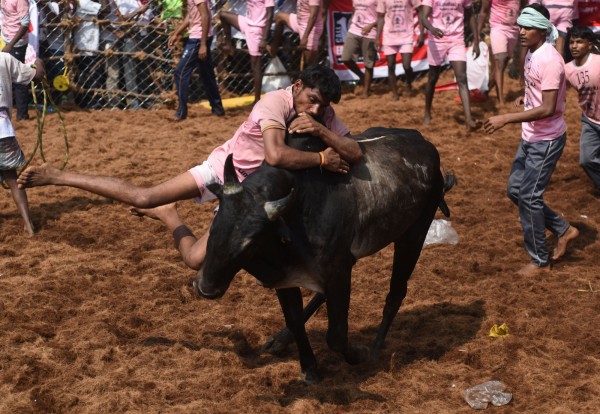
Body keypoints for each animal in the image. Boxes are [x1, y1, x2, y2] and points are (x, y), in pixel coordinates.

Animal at [195, 128, 452, 384]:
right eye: (214, 227)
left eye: (250, 242)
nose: (205, 288)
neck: (299, 209)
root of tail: (423, 142)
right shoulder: (287, 278)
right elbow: (295, 320)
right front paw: (309, 367)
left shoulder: (337, 273)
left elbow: (336, 337)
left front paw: (359, 354)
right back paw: (281, 340)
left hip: (413, 236)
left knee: (396, 294)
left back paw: (376, 349)